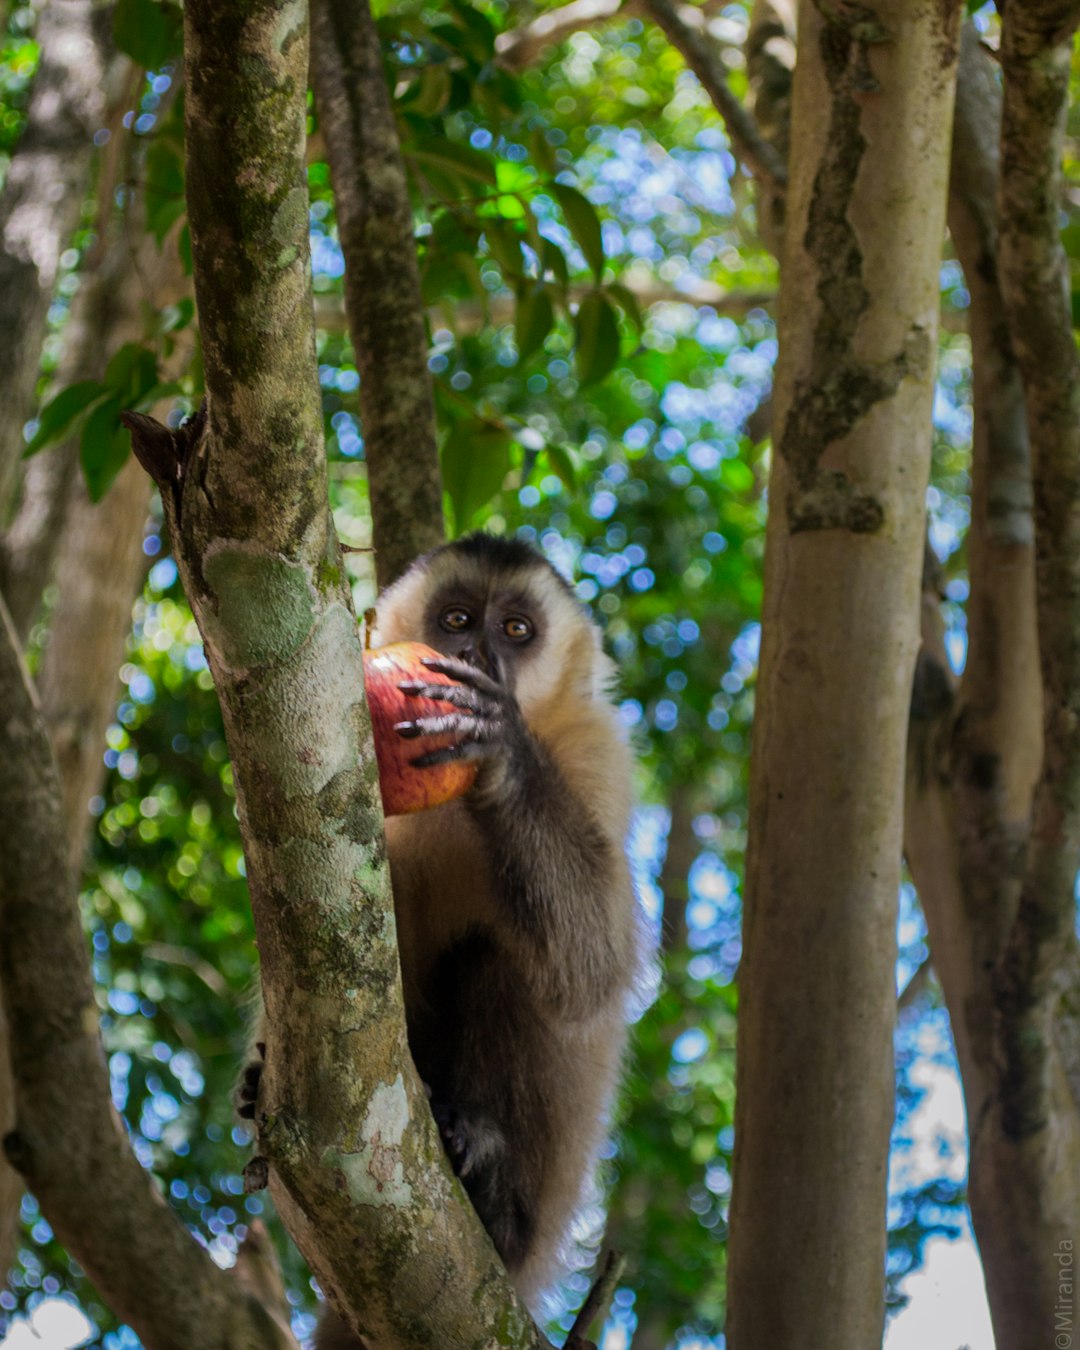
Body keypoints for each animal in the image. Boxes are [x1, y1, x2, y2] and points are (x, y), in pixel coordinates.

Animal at [238, 531, 642, 1344]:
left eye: (515, 630)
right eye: (457, 618)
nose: (476, 655)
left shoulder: (600, 750)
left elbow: (594, 969)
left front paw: (501, 749)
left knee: (508, 962)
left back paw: (486, 1179)